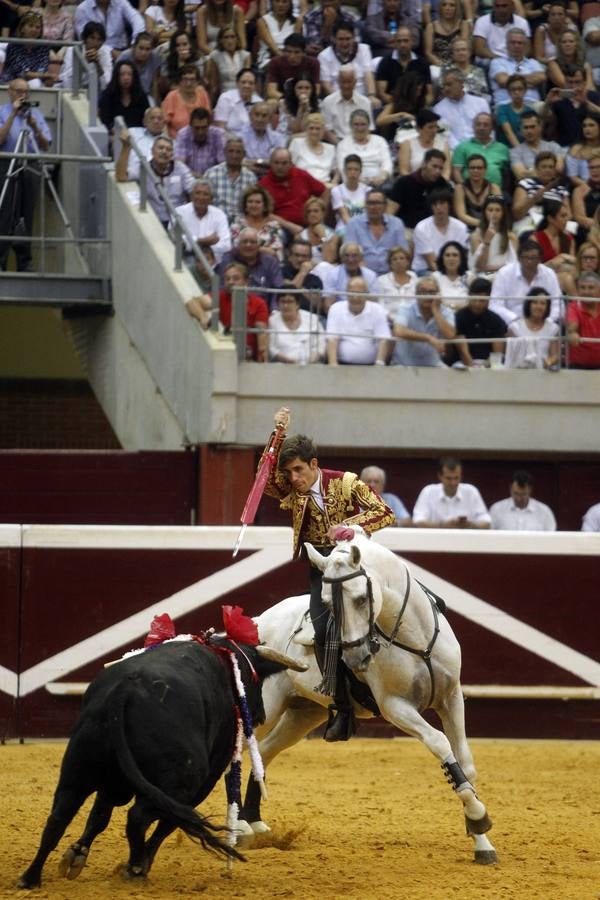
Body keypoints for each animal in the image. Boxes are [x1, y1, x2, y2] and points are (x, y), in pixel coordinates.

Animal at [15, 640, 294, 884]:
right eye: (254, 679)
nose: (260, 715)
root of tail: (124, 690)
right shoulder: (201, 784)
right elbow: (168, 824)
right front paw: (140, 863)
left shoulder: (112, 784)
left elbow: (99, 816)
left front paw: (77, 854)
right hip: (181, 785)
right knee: (139, 817)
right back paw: (136, 867)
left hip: (77, 770)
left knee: (58, 818)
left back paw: (30, 878)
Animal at [239, 528, 496, 864]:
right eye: (326, 603)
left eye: (362, 598)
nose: (355, 658)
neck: (414, 640)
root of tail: (257, 623)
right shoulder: (395, 706)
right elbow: (440, 743)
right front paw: (478, 816)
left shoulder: (452, 696)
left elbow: (465, 761)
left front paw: (480, 838)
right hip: (265, 708)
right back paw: (239, 828)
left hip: (303, 713)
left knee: (265, 750)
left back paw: (254, 822)